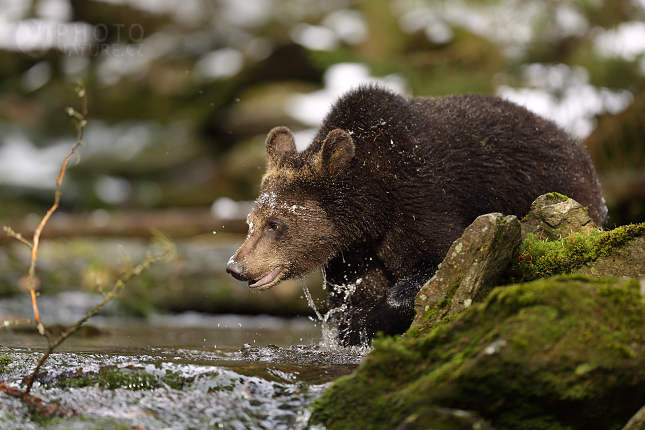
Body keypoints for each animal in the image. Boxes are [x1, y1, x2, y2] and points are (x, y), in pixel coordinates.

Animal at [225, 85, 604, 346]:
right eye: (251, 222)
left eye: (275, 224)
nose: (236, 266)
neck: (373, 205)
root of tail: (581, 150)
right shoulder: (356, 251)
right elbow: (353, 292)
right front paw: (352, 324)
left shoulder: (421, 198)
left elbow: (438, 260)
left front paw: (363, 324)